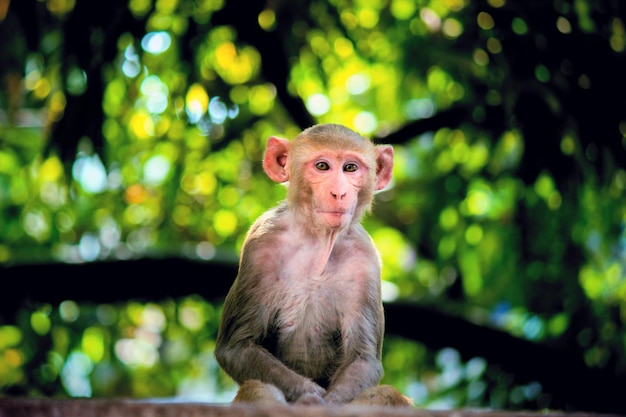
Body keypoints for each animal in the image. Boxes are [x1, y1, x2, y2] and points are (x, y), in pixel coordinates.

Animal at [212, 122, 412, 406]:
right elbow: (237, 347)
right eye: (322, 166)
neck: (317, 240)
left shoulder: (366, 259)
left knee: (385, 393)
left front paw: (328, 404)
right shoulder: (260, 245)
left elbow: (362, 359)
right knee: (257, 387)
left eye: (350, 168)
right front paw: (310, 398)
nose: (339, 192)